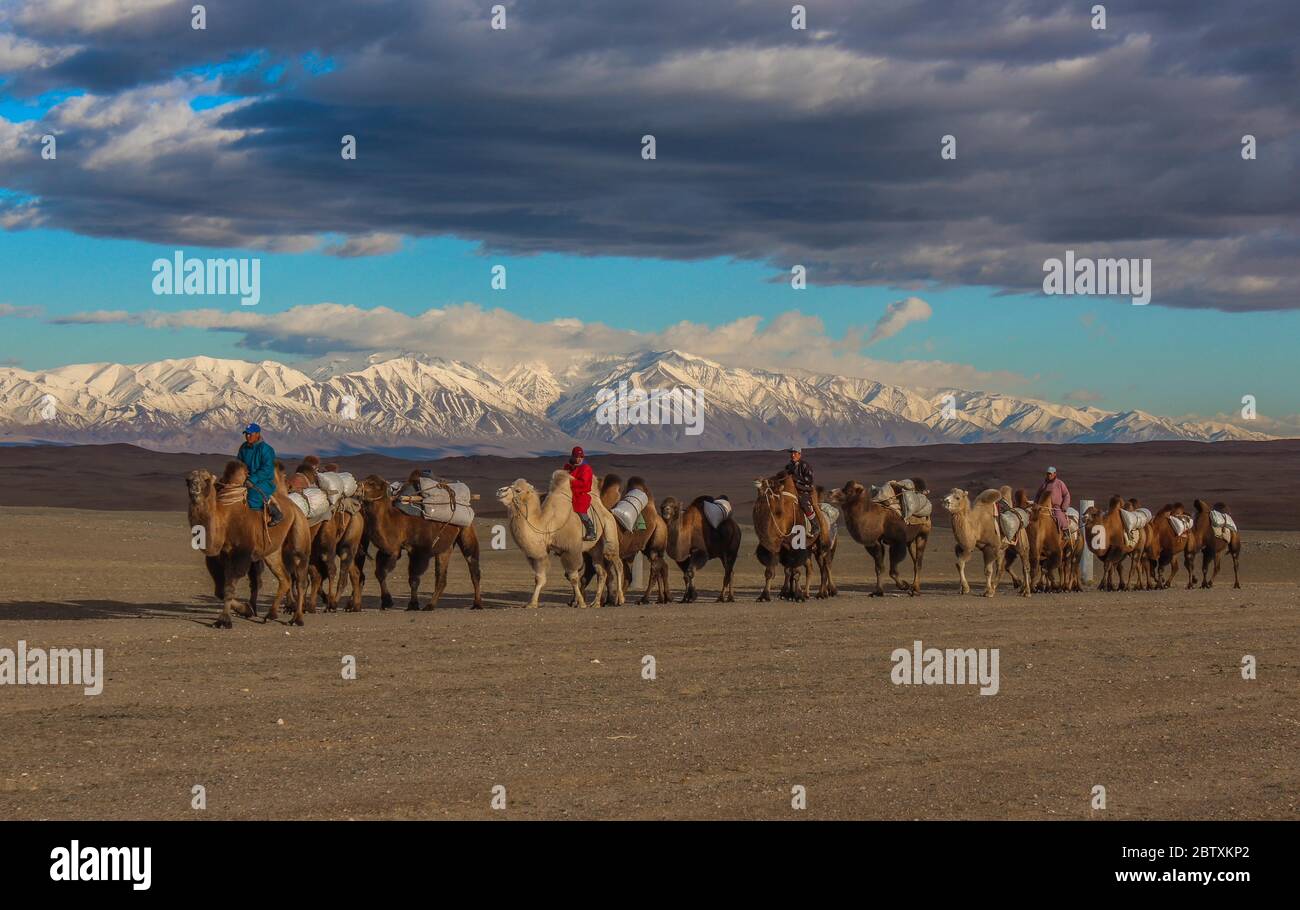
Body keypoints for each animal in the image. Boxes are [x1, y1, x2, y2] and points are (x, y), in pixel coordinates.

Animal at [185, 460, 311, 627]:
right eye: (187, 480)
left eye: (206, 479)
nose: (194, 488)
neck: (224, 519)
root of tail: (294, 507)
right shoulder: (215, 559)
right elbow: (219, 591)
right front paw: (246, 610)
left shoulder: (240, 554)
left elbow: (229, 588)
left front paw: (224, 620)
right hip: (272, 551)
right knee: (285, 578)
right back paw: (271, 615)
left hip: (299, 531)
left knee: (301, 579)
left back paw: (297, 619)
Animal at [356, 472, 483, 610]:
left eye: (372, 483)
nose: (357, 486)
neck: (397, 521)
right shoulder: (390, 550)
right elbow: (380, 573)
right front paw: (387, 602)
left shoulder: (418, 551)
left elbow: (414, 578)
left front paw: (412, 604)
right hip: (445, 547)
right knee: (441, 577)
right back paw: (430, 605)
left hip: (467, 530)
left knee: (473, 567)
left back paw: (477, 604)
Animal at [496, 470, 623, 608]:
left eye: (518, 490)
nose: (500, 491)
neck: (547, 524)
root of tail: (604, 509)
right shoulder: (541, 553)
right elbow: (539, 578)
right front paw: (532, 603)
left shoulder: (570, 550)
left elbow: (573, 577)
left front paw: (581, 603)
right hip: (595, 547)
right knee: (601, 571)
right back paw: (595, 603)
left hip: (609, 528)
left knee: (616, 562)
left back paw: (619, 599)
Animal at [583, 474, 670, 604]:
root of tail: (660, 520)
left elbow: (605, 575)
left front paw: (606, 600)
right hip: (640, 550)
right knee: (659, 567)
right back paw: (663, 598)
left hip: (654, 546)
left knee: (654, 569)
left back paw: (643, 599)